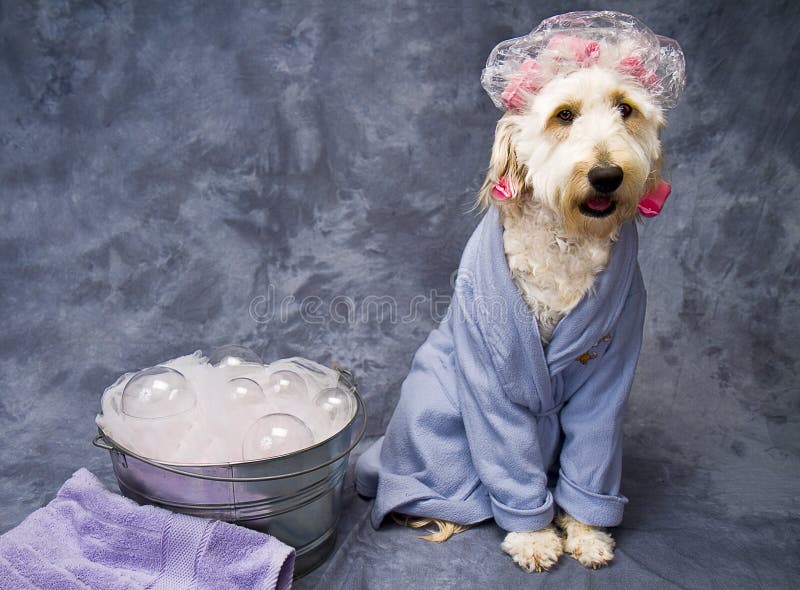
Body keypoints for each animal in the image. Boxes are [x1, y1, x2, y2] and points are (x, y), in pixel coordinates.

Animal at [354, 9, 684, 572]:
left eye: (626, 109)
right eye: (564, 115)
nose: (607, 175)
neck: (566, 238)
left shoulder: (610, 371)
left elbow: (591, 458)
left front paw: (587, 532)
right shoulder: (492, 374)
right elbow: (508, 456)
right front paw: (532, 536)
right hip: (437, 415)